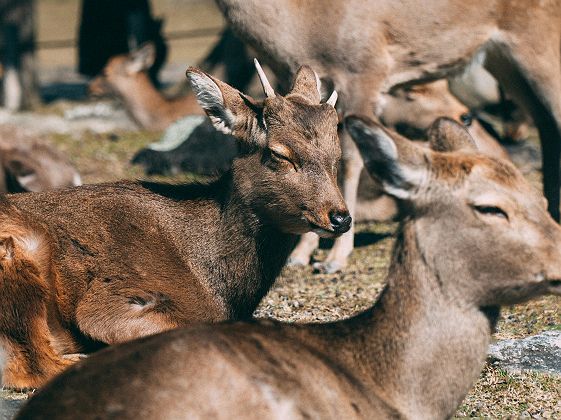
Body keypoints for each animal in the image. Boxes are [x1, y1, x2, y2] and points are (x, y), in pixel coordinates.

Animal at [0, 60, 350, 388]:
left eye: (337, 154)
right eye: (280, 153)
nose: (341, 217)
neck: (221, 285)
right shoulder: (108, 298)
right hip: (23, 250)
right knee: (32, 367)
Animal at [213, 0, 560, 272]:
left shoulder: (364, 71)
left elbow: (351, 160)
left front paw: (335, 258)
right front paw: (301, 253)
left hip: (538, 44)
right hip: (503, 60)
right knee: (544, 122)